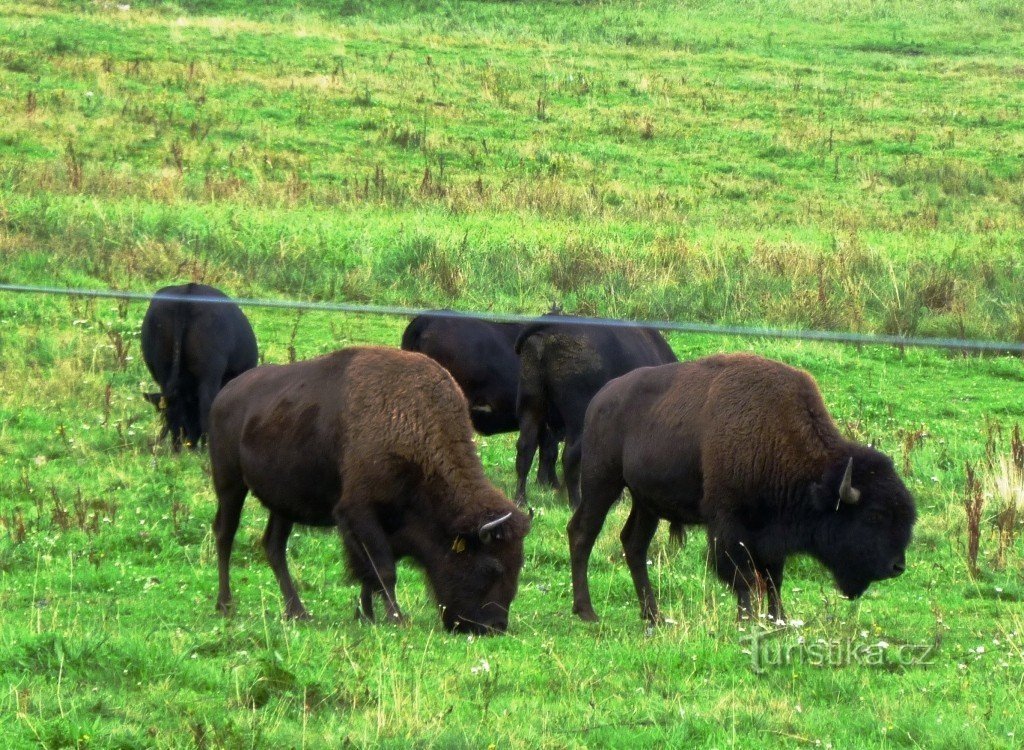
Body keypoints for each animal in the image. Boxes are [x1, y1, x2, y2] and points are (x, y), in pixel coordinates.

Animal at [140, 282, 258, 450]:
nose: (190, 442)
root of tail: (188, 288)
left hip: (163, 367)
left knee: (174, 408)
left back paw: (177, 447)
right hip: (209, 372)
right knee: (206, 406)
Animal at [204, 346, 532, 631]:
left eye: (518, 564)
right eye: (491, 567)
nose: (494, 626)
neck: (411, 423)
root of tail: (224, 394)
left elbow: (369, 570)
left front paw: (366, 614)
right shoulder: (358, 512)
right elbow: (383, 569)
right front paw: (396, 618)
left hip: (284, 502)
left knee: (274, 545)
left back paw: (298, 611)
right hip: (230, 483)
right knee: (225, 534)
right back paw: (226, 605)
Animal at [516, 319, 675, 506]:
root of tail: (551, 326)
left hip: (532, 408)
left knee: (525, 449)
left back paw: (521, 500)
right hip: (578, 419)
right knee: (570, 457)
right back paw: (575, 502)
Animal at [569, 354, 921, 622]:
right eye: (874, 516)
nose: (897, 566)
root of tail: (600, 399)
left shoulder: (770, 535)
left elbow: (774, 578)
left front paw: (778, 620)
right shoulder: (729, 525)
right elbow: (743, 576)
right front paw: (747, 619)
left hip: (646, 502)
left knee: (634, 544)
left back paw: (653, 616)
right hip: (602, 482)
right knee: (582, 533)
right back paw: (587, 612)